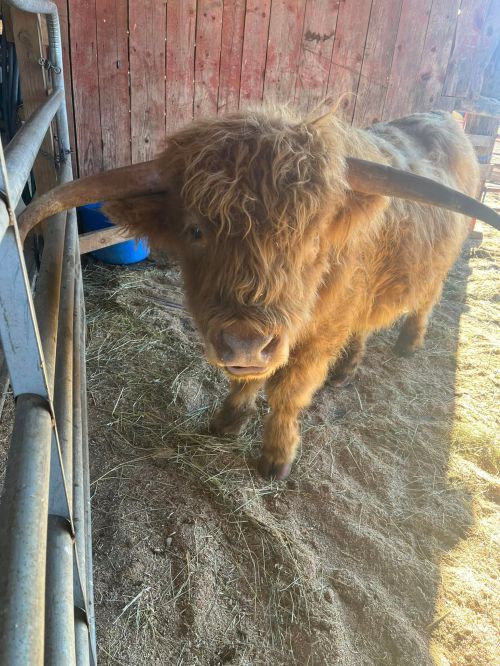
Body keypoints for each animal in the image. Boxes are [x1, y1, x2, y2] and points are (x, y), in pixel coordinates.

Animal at [19, 107, 499, 480]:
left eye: (313, 240)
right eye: (195, 230)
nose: (246, 342)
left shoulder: (318, 338)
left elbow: (289, 393)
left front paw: (277, 457)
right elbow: (244, 379)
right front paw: (228, 420)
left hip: (436, 268)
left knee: (425, 300)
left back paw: (408, 342)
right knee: (364, 324)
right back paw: (347, 368)